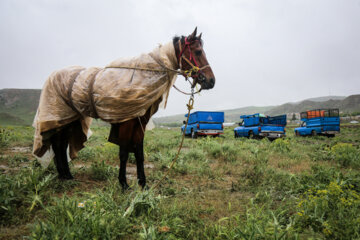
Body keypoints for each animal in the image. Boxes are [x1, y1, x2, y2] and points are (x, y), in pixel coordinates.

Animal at [32, 27, 215, 189]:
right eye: (198, 51)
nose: (211, 81)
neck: (147, 73)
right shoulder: (127, 122)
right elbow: (124, 153)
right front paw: (124, 183)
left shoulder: (140, 123)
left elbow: (139, 153)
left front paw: (143, 184)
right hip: (59, 119)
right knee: (58, 144)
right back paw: (64, 175)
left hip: (70, 120)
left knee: (61, 145)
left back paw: (66, 175)